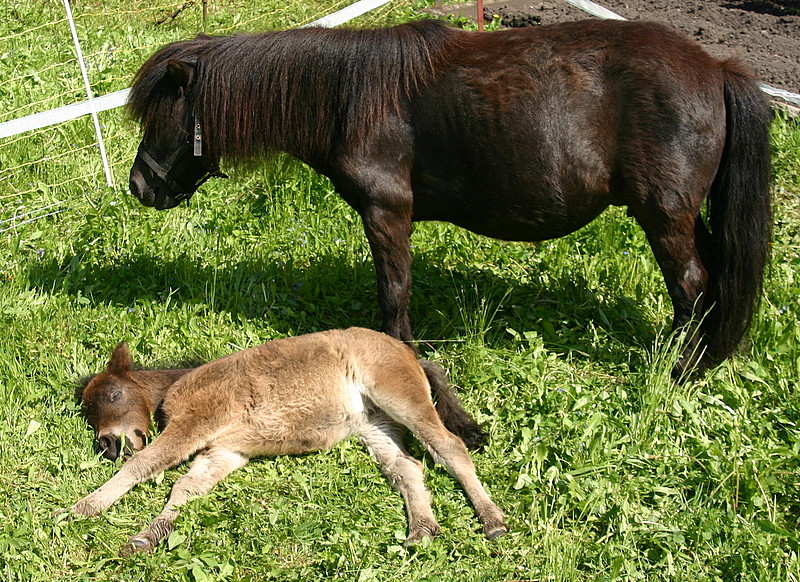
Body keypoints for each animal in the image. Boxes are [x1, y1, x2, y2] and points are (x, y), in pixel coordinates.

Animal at [128, 20, 772, 376]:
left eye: (160, 116)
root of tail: (716, 67)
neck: (348, 96)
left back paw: (681, 370)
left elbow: (394, 292)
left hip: (663, 214)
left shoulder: (387, 212)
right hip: (688, 214)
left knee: (691, 284)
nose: (139, 186)